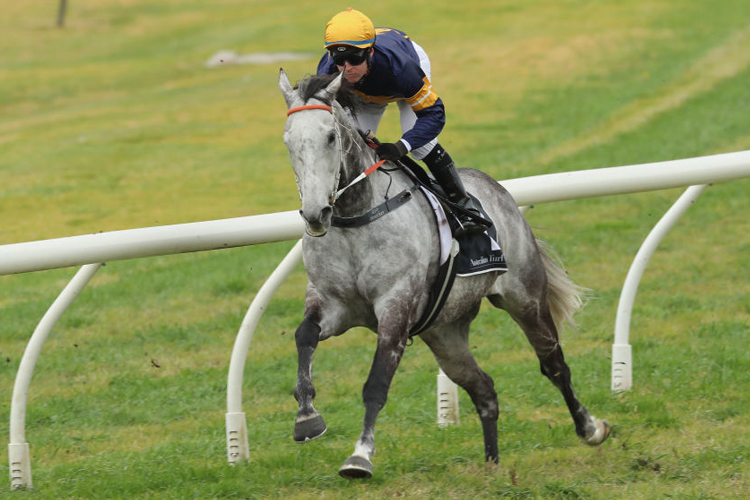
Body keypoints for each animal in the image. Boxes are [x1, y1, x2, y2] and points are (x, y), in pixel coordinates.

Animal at [280, 68, 608, 478]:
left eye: (329, 136)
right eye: (288, 141)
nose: (315, 214)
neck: (358, 215)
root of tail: (499, 190)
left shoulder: (396, 307)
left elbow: (376, 384)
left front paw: (360, 455)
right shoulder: (332, 302)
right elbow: (304, 335)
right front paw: (306, 417)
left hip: (526, 298)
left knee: (554, 365)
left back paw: (591, 428)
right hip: (444, 331)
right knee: (483, 388)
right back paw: (492, 465)